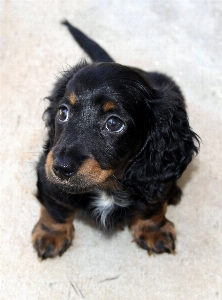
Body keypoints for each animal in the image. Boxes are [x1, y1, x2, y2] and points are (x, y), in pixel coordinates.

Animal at [31, 21, 199, 260]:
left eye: (113, 123)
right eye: (63, 112)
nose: (60, 168)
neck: (108, 185)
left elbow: (153, 205)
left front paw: (153, 229)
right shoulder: (47, 174)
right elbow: (56, 207)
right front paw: (52, 234)